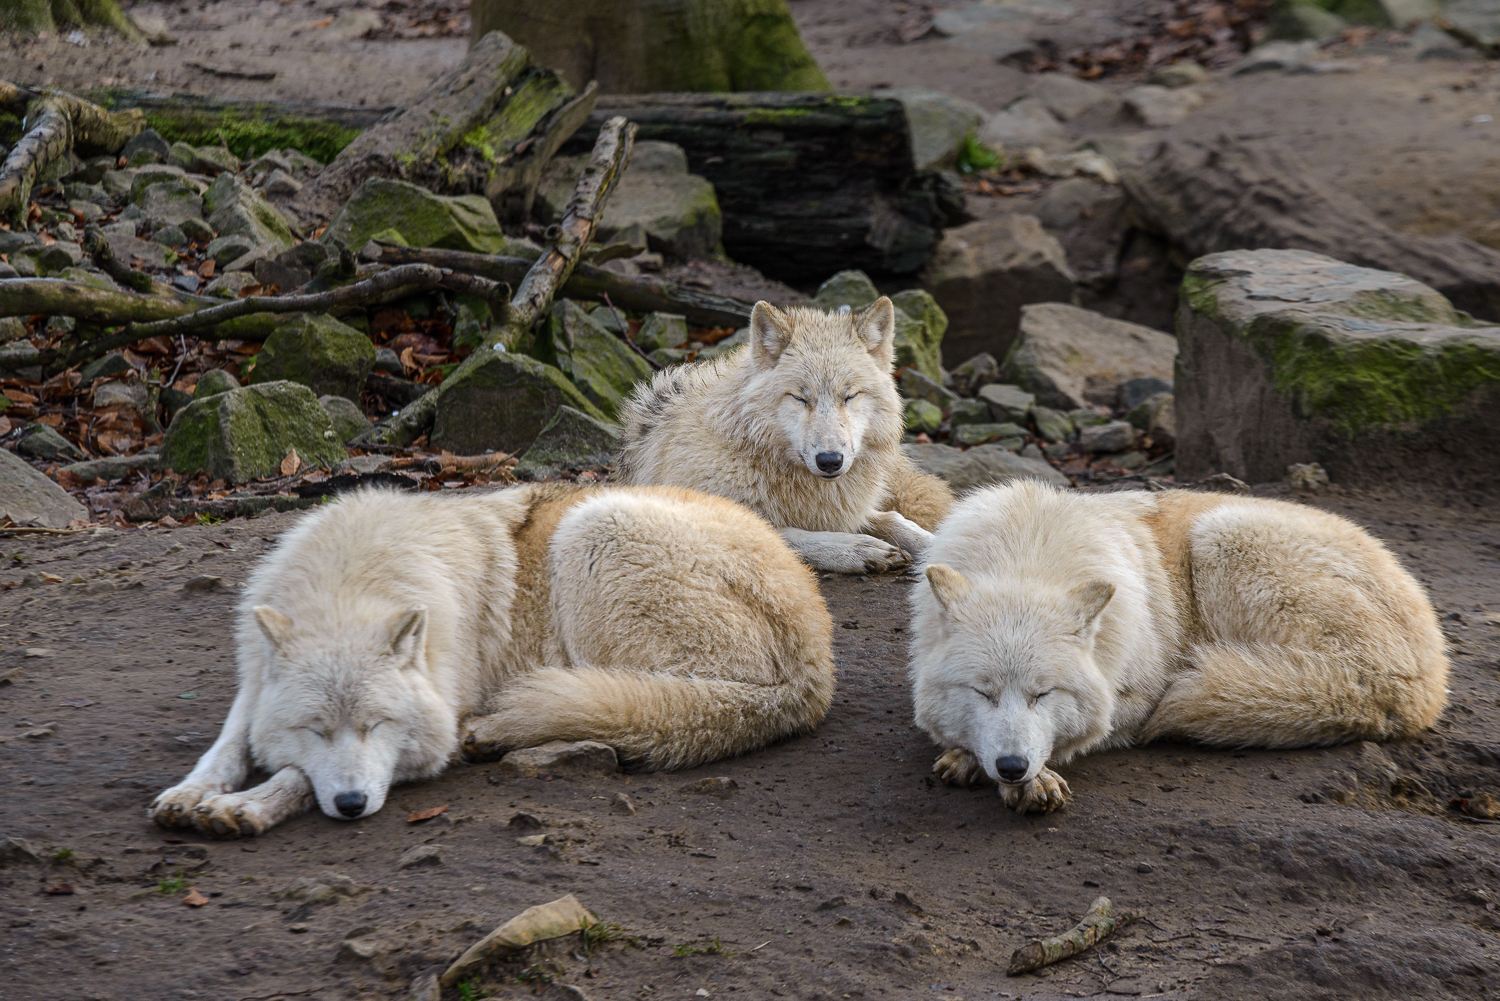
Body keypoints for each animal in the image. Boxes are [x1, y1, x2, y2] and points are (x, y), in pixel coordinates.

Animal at [149, 486, 846, 840]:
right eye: (314, 728)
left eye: (378, 725)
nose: (349, 805)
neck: (352, 578)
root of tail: (817, 667)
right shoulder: (255, 679)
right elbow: (229, 744)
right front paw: (190, 793)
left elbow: (296, 774)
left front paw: (247, 807)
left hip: (594, 533)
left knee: (641, 707)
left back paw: (504, 730)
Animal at [615, 297, 954, 576]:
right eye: (800, 398)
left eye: (849, 396)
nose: (830, 461)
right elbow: (791, 535)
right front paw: (857, 549)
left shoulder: (845, 508)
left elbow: (896, 519)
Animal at [906, 480, 1446, 816]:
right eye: (983, 693)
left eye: (1044, 695)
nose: (1012, 767)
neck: (1028, 554)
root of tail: (1432, 676)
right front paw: (970, 757)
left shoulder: (1141, 695)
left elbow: (1089, 729)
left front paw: (1031, 779)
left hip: (1223, 540)